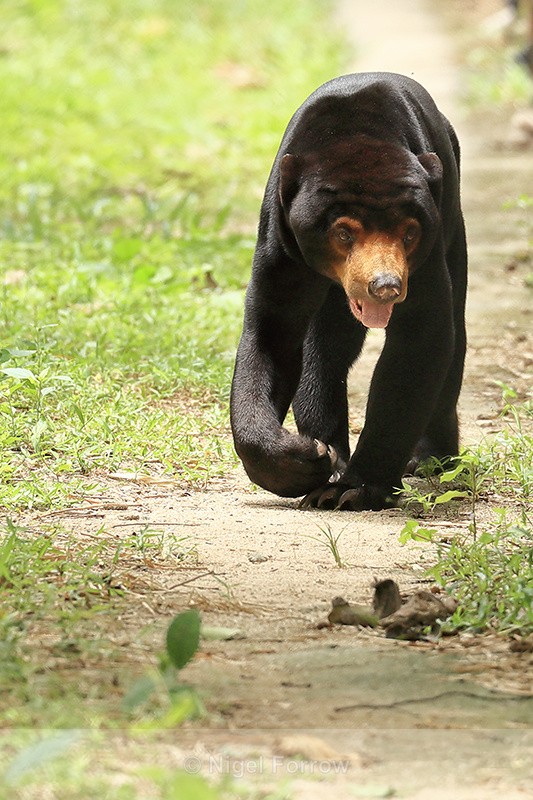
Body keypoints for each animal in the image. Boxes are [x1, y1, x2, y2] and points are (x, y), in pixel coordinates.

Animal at [230, 72, 467, 511]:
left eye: (410, 232)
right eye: (343, 232)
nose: (386, 285)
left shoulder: (427, 259)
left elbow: (419, 345)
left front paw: (354, 489)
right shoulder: (281, 247)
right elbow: (271, 337)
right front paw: (305, 460)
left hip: (454, 229)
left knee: (455, 341)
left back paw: (430, 457)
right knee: (324, 352)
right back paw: (332, 454)